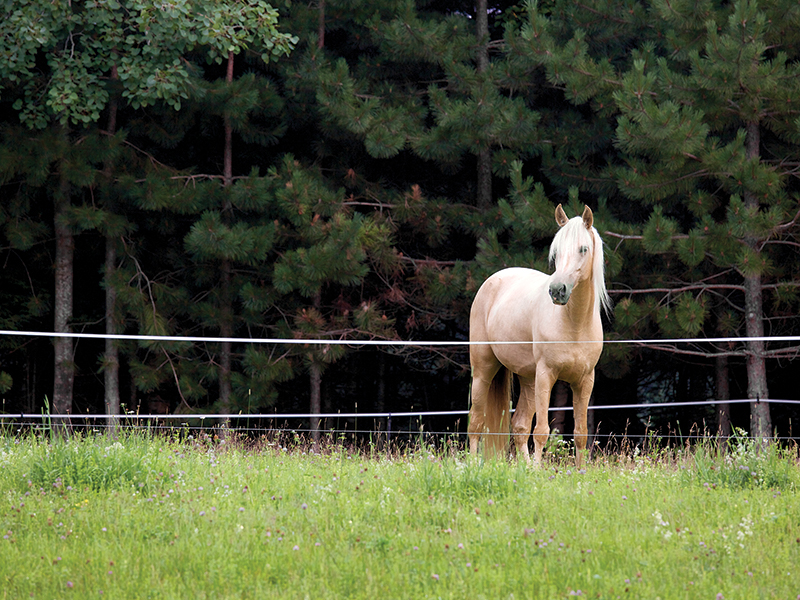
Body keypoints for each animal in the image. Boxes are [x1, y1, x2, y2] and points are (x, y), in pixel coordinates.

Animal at [467, 204, 611, 467]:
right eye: (557, 251)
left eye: (583, 249)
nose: (557, 290)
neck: (574, 325)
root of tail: (493, 280)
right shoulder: (546, 375)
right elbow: (542, 431)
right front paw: (537, 472)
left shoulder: (585, 381)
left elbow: (581, 434)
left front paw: (580, 471)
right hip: (484, 370)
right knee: (476, 422)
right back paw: (470, 465)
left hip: (528, 379)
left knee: (519, 426)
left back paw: (523, 468)